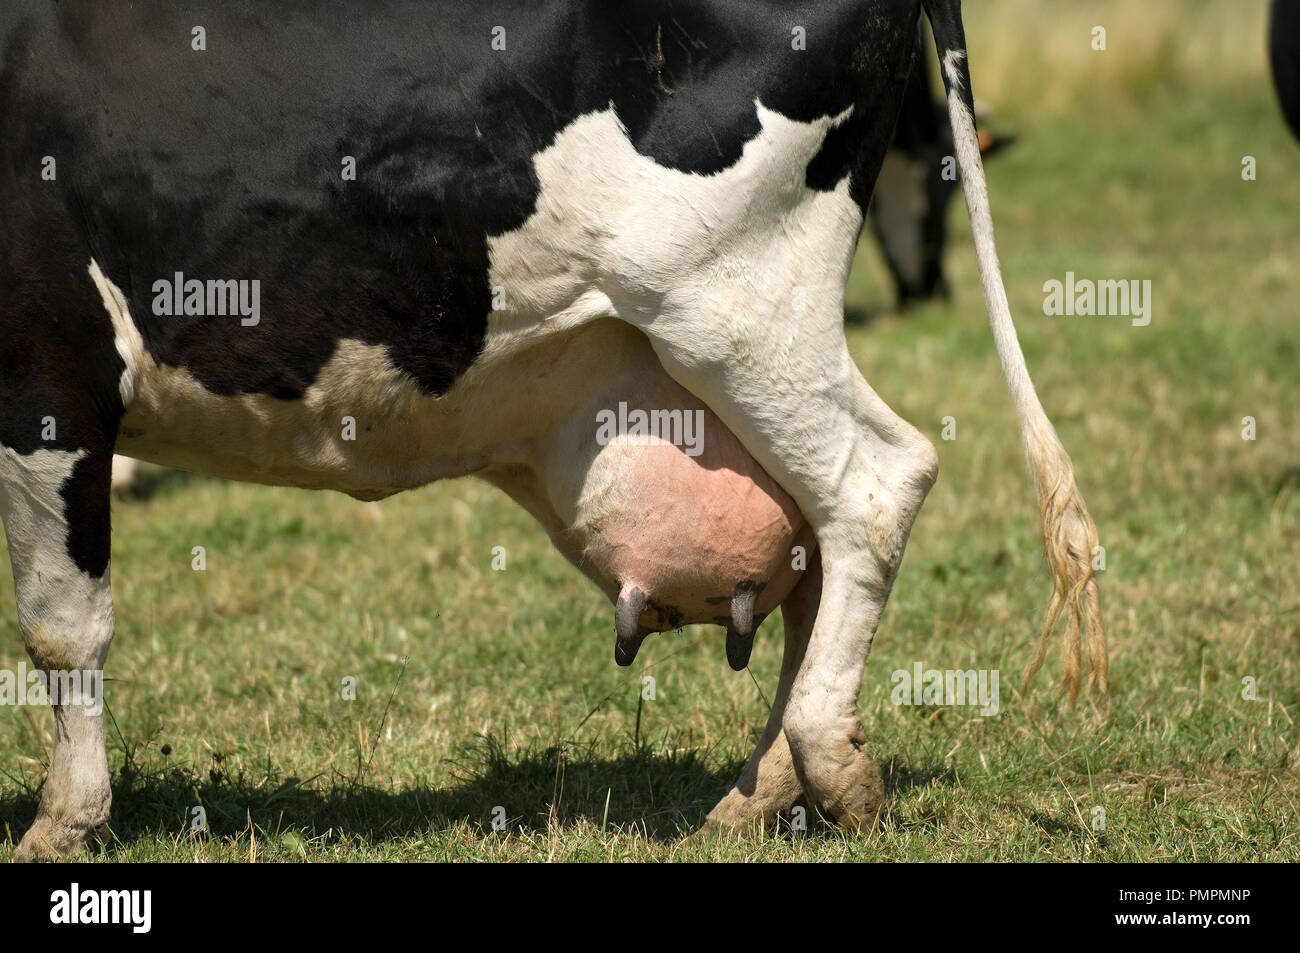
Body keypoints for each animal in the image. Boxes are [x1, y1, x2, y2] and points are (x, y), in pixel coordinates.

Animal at [0, 0, 1105, 860]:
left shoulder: (50, 369)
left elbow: (62, 621)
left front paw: (65, 820)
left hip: (734, 314)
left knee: (877, 482)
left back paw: (831, 764)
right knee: (815, 549)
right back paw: (760, 790)